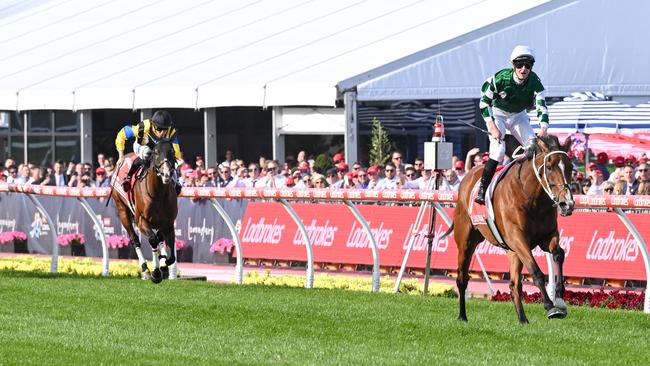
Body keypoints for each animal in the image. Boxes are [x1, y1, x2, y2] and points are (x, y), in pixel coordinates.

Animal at [111, 139, 177, 284]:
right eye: (156, 152)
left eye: (172, 152)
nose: (166, 174)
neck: (158, 194)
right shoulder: (141, 221)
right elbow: (153, 240)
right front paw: (156, 272)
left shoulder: (168, 223)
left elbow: (170, 255)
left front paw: (164, 264)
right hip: (122, 209)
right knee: (134, 239)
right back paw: (145, 269)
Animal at [450, 135, 572, 324]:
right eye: (549, 166)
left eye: (571, 167)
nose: (567, 204)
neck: (531, 197)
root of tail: (467, 175)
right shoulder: (517, 237)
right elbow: (536, 271)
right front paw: (550, 306)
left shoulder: (547, 236)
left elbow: (559, 254)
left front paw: (559, 300)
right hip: (466, 241)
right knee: (462, 278)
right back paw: (462, 316)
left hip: (512, 251)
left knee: (515, 284)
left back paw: (523, 320)